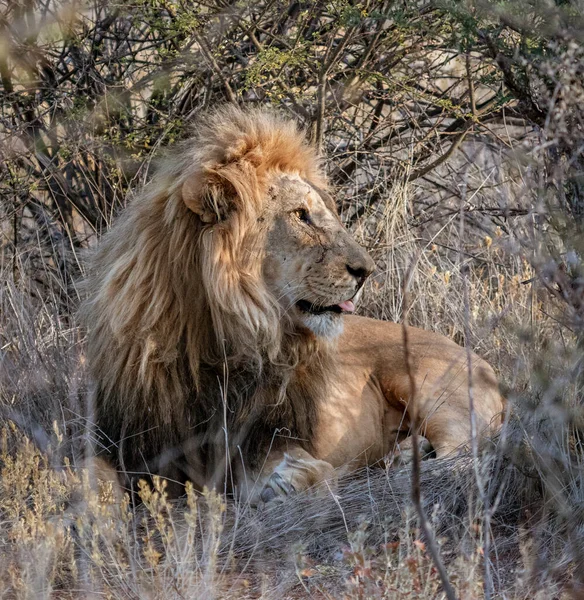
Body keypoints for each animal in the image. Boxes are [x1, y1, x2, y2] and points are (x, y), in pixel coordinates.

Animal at [81, 105, 502, 504]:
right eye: (302, 215)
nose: (367, 271)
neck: (211, 340)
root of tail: (486, 364)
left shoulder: (268, 434)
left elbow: (300, 473)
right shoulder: (128, 440)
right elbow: (91, 481)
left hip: (434, 389)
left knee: (465, 452)